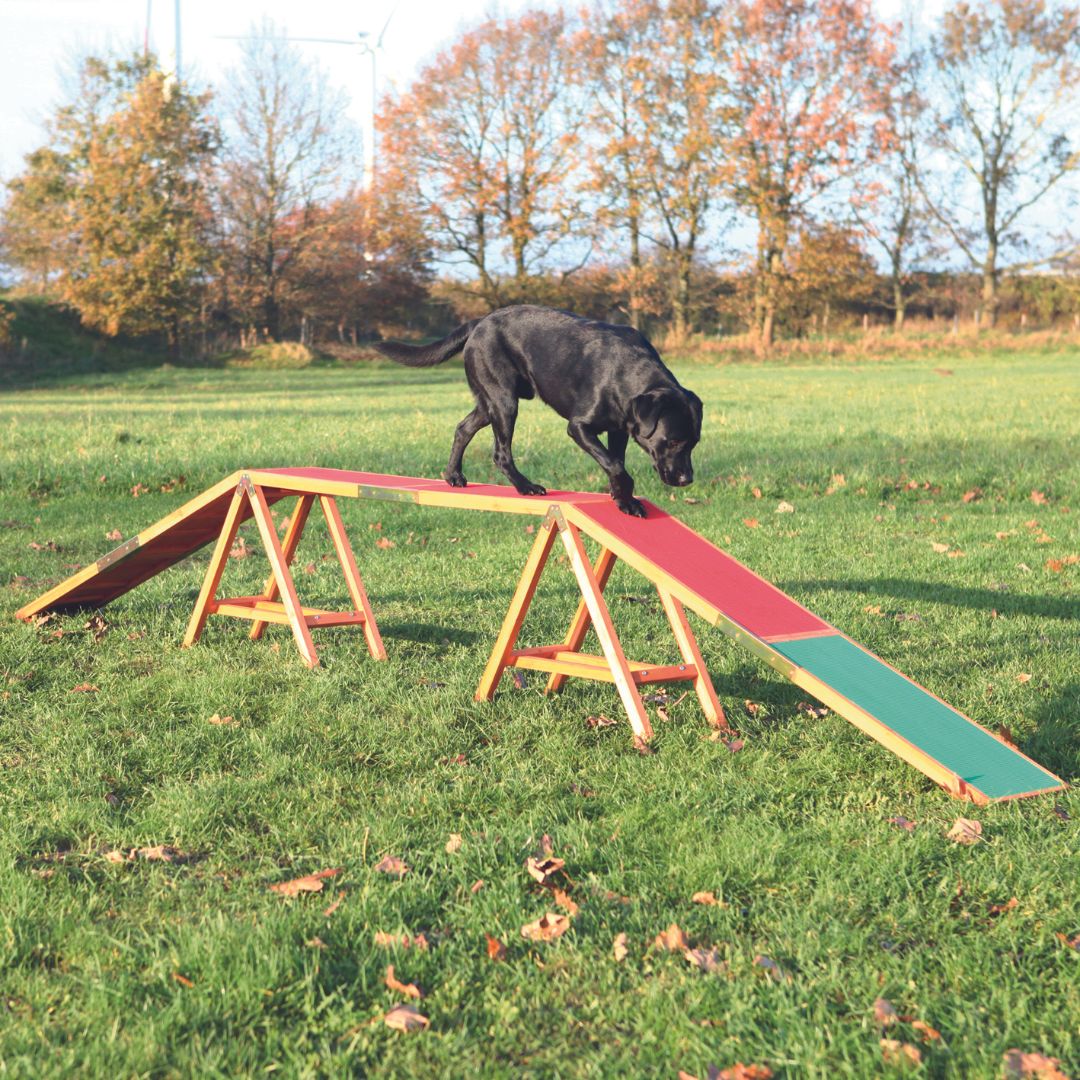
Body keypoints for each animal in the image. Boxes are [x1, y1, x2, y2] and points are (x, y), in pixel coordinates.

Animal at [375, 302, 704, 516]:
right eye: (673, 441)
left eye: (694, 444)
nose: (687, 480)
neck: (629, 373)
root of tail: (480, 321)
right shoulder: (579, 427)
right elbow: (615, 464)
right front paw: (626, 497)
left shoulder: (618, 429)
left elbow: (616, 462)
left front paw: (623, 499)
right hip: (504, 402)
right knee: (500, 452)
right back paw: (525, 486)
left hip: (489, 403)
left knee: (463, 428)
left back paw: (453, 475)